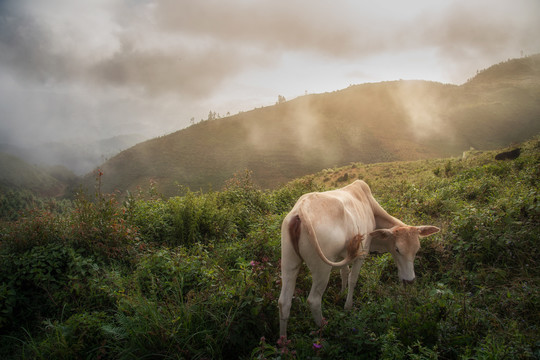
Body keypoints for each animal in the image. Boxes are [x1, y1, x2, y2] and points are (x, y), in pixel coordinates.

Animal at [278, 181, 438, 338]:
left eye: (417, 250)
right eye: (397, 249)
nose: (409, 280)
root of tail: (302, 209)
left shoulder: (343, 255)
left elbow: (344, 273)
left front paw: (341, 293)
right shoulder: (362, 253)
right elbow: (352, 279)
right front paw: (348, 306)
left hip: (289, 262)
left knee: (284, 302)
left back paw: (284, 341)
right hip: (322, 269)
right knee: (313, 300)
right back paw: (324, 327)